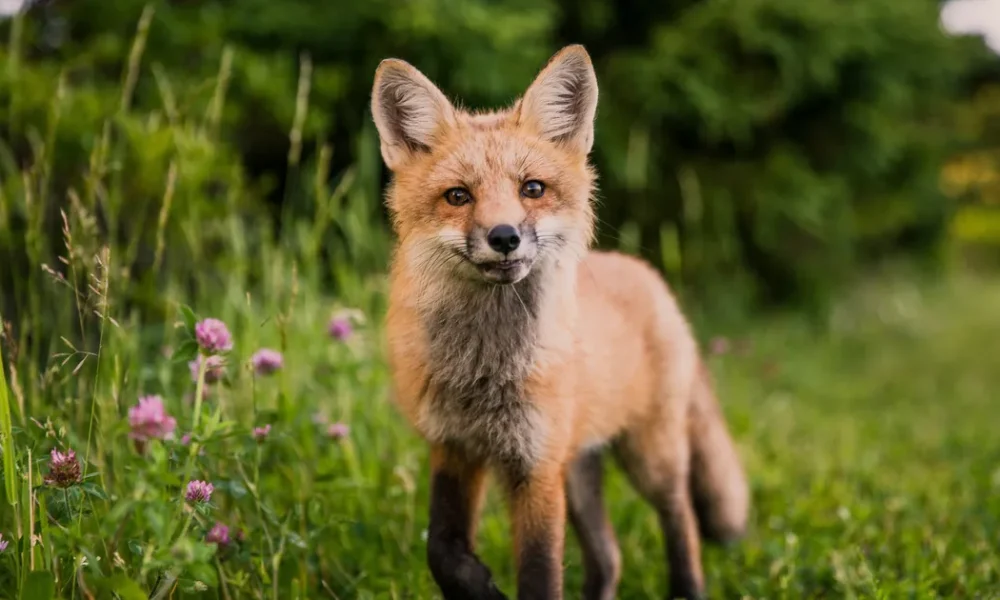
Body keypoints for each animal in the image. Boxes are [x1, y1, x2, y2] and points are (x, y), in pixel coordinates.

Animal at [370, 45, 750, 600]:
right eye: (458, 196)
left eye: (533, 189)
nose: (505, 237)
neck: (485, 372)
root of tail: (648, 275)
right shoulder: (455, 447)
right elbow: (440, 549)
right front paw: (481, 586)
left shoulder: (537, 466)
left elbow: (540, 573)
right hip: (580, 468)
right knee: (609, 557)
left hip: (650, 457)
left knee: (682, 522)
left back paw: (688, 586)